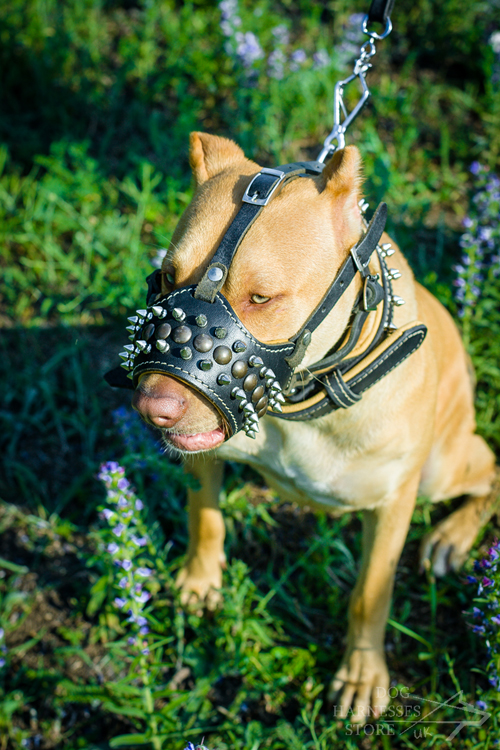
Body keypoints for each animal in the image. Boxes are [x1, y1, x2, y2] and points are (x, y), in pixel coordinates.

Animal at [131, 134, 498, 724]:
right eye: (167, 276)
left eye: (262, 298)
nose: (150, 405)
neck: (303, 402)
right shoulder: (205, 454)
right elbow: (204, 518)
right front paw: (200, 581)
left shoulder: (392, 506)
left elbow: (370, 595)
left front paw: (362, 676)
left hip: (443, 467)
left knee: (491, 470)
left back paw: (452, 537)